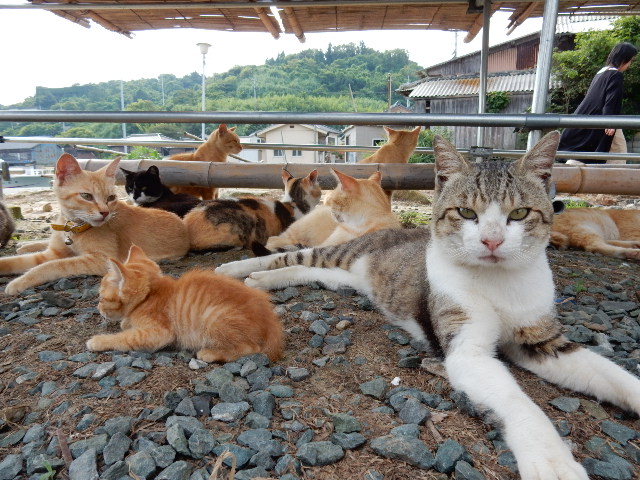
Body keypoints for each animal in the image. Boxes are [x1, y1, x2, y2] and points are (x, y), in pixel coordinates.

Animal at [0, 153, 189, 296]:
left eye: (111, 198)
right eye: (86, 196)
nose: (105, 212)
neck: (73, 227)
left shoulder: (102, 260)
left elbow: (53, 265)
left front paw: (19, 282)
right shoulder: (53, 252)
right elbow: (18, 261)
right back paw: (25, 245)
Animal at [86, 244, 283, 363]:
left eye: (101, 298)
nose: (98, 308)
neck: (149, 296)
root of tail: (270, 323)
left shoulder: (160, 332)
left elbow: (126, 338)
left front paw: (99, 340)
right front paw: (126, 322)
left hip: (213, 318)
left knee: (252, 347)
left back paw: (210, 353)